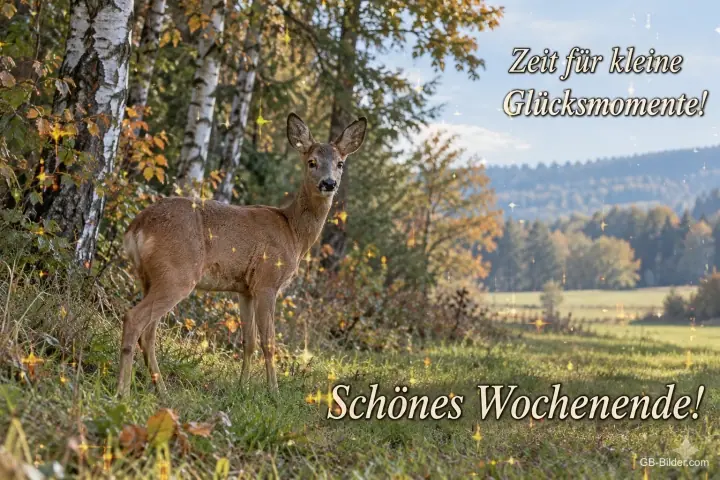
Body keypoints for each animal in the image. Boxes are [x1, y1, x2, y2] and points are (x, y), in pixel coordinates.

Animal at [117, 113, 367, 396]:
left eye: (340, 163)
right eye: (311, 161)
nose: (328, 183)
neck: (293, 232)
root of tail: (136, 227)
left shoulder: (245, 289)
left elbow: (249, 341)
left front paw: (242, 388)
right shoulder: (268, 281)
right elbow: (269, 342)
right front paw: (273, 393)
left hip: (149, 277)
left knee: (148, 333)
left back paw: (162, 391)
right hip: (176, 273)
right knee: (134, 318)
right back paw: (123, 392)